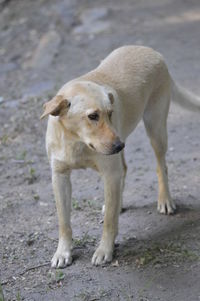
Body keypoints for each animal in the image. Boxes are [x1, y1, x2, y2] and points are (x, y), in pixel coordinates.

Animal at [41, 45, 200, 268]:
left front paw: (104, 250)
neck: (77, 142)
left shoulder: (109, 173)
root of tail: (150, 50)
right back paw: (119, 203)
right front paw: (63, 252)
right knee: (123, 171)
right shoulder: (60, 176)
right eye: (92, 116)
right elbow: (64, 221)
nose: (119, 145)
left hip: (155, 129)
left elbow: (109, 221)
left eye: (110, 113)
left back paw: (165, 200)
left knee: (161, 166)